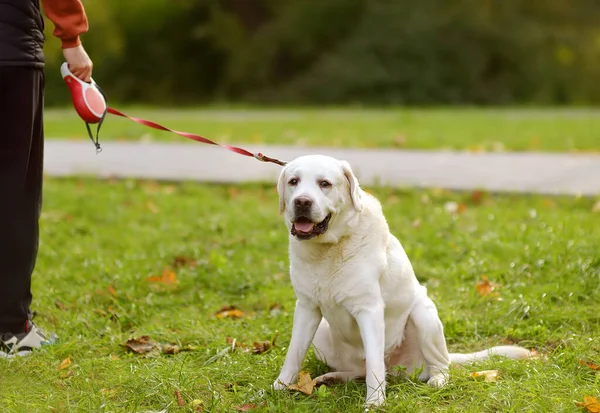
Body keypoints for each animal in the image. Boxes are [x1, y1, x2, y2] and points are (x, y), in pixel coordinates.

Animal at [272, 154, 528, 406]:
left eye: (324, 183)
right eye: (293, 181)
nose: (302, 202)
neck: (328, 250)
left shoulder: (369, 310)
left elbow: (375, 363)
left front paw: (375, 402)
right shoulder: (306, 308)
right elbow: (294, 352)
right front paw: (280, 387)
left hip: (424, 316)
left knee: (438, 365)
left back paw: (437, 380)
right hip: (322, 334)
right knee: (360, 370)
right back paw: (332, 377)